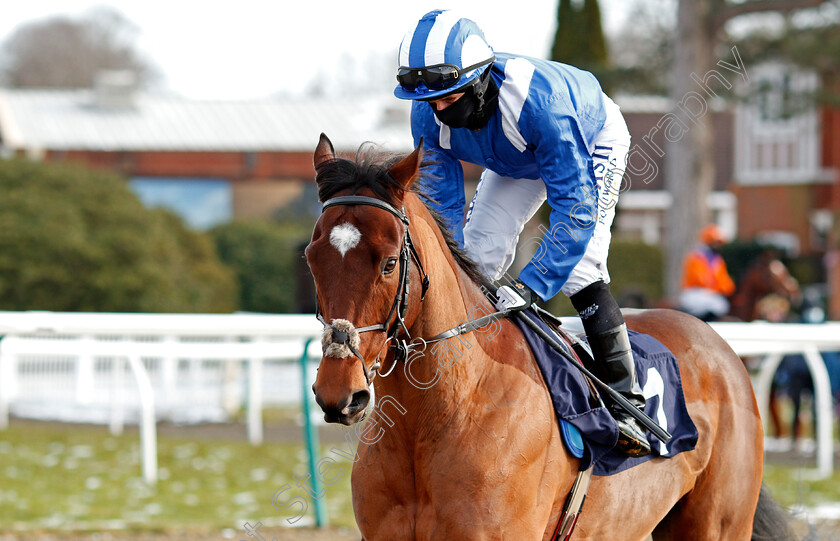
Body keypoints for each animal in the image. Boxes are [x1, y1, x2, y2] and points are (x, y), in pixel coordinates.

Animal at [306, 135, 792, 540]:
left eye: (389, 262)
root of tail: (720, 347)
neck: (438, 416)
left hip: (719, 525)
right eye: (312, 259)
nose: (339, 393)